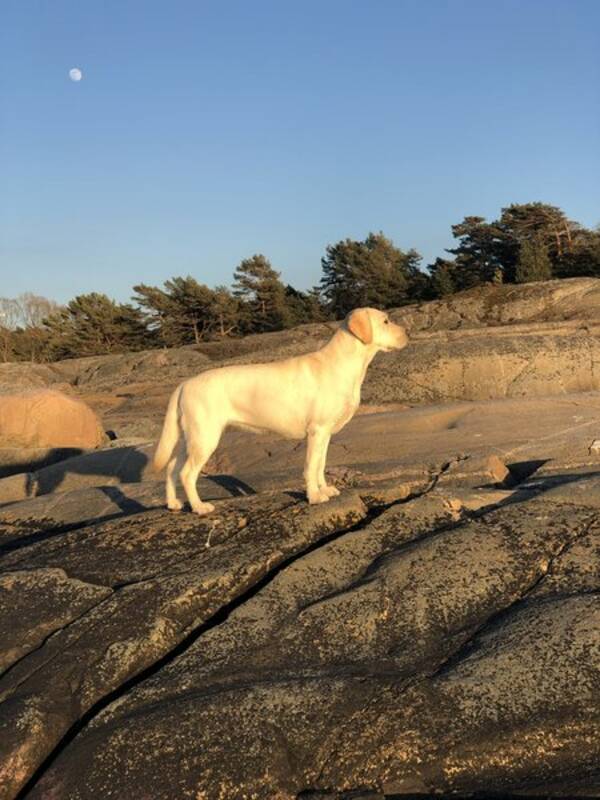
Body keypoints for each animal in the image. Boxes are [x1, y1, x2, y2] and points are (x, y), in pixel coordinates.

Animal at [154, 306, 408, 512]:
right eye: (385, 321)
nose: (408, 333)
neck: (344, 363)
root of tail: (185, 384)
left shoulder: (325, 433)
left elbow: (321, 464)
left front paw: (324, 490)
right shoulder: (316, 431)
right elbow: (310, 467)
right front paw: (314, 497)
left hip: (188, 439)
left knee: (171, 469)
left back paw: (173, 504)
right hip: (205, 438)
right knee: (186, 473)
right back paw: (199, 507)